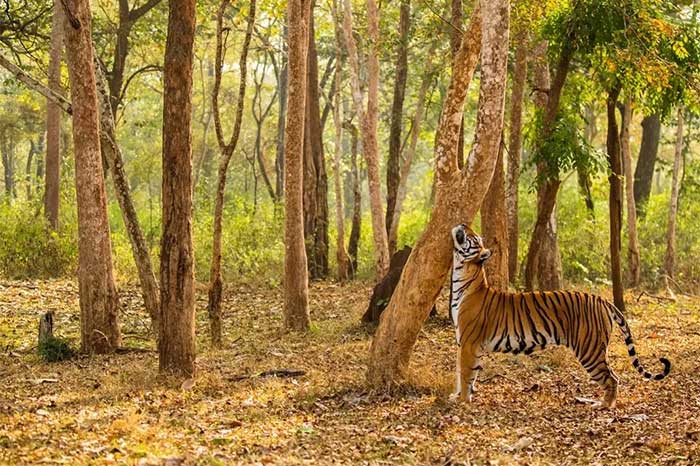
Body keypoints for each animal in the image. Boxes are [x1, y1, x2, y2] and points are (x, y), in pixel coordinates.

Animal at [452, 224, 668, 406]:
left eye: (473, 237)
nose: (462, 225)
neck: (460, 276)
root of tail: (602, 300)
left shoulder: (470, 343)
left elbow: (465, 373)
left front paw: (462, 402)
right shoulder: (465, 343)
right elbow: (462, 372)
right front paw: (459, 396)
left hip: (589, 349)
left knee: (612, 377)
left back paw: (604, 405)